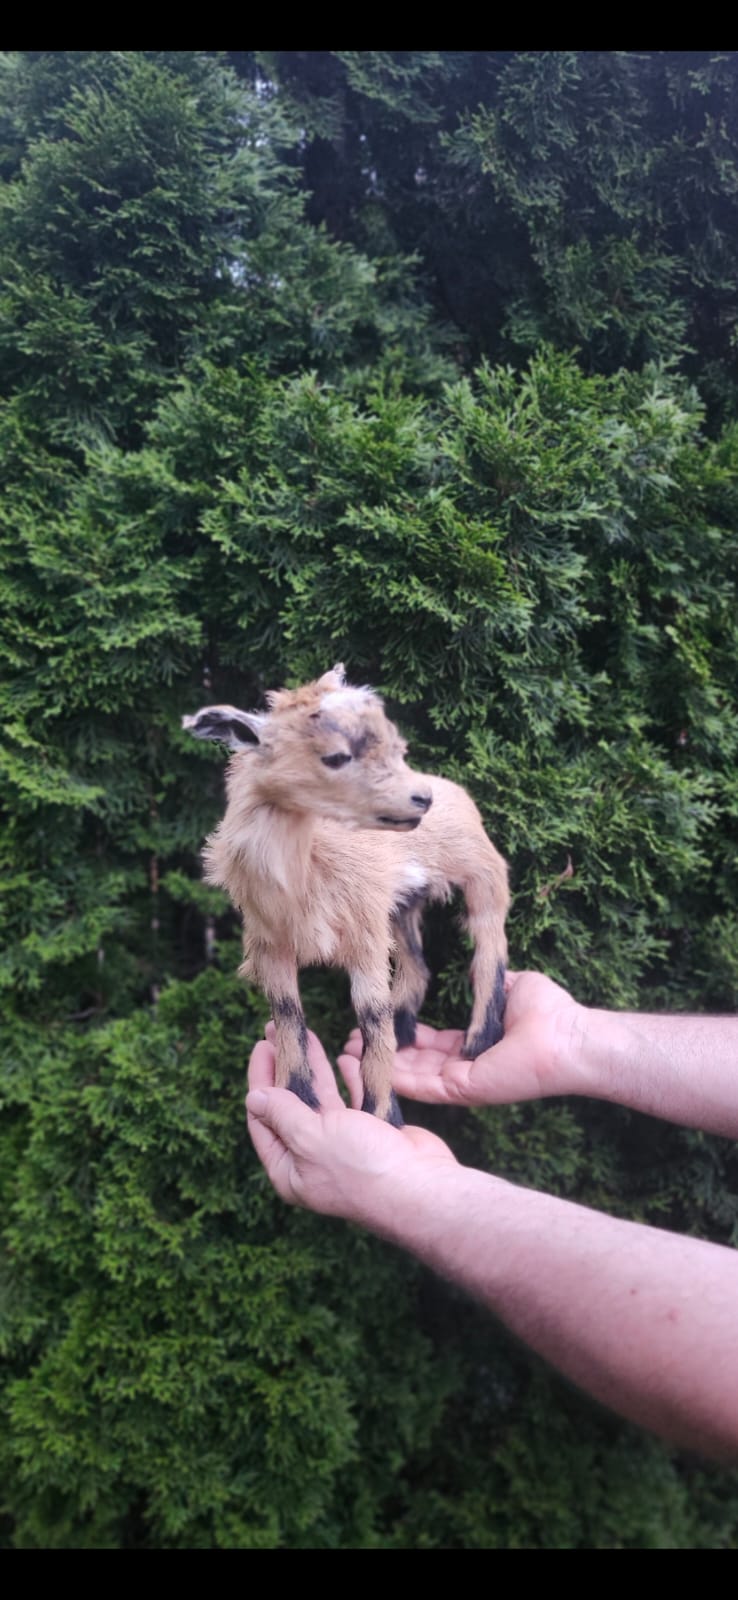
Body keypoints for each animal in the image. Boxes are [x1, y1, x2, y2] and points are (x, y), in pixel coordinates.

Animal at [183, 665, 510, 1127]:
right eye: (336, 756)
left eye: (395, 747)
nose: (421, 798)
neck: (305, 867)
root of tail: (452, 789)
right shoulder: (271, 944)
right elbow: (287, 1013)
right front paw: (298, 1094)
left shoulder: (364, 937)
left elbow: (372, 1017)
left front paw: (382, 1116)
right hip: (402, 903)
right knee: (417, 963)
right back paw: (406, 1031)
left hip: (480, 868)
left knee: (489, 943)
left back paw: (479, 1039)